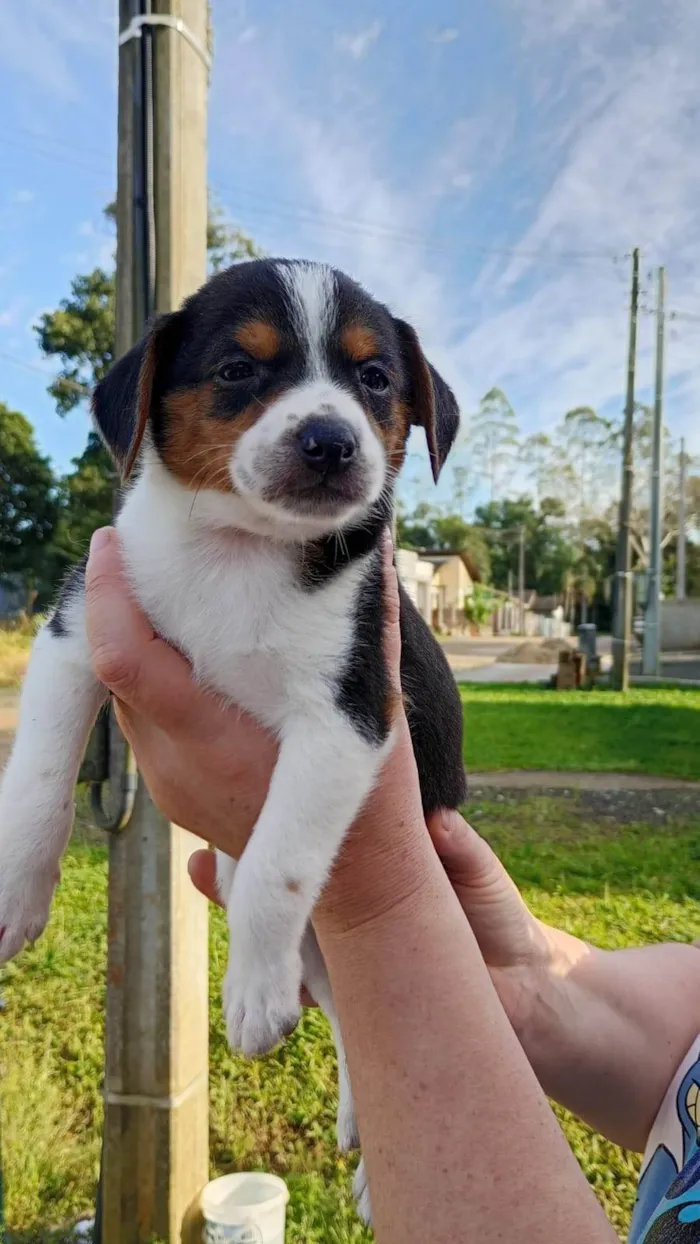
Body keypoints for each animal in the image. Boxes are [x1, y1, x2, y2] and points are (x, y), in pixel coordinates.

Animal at [1, 255, 469, 1224]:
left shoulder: (345, 716)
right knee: (353, 1021)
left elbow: (274, 868)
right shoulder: (75, 634)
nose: (330, 441)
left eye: (375, 379)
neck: (240, 554)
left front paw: (251, 991)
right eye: (236, 369)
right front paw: (14, 895)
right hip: (323, 956)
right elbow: (34, 787)